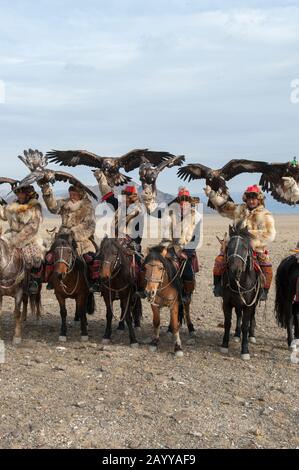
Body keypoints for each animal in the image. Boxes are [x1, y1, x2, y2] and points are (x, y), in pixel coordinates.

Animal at [221, 222, 262, 362]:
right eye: (229, 246)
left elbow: (245, 325)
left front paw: (245, 351)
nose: (235, 270)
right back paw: (237, 335)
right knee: (239, 315)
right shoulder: (227, 303)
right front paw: (224, 345)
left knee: (252, 317)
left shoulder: (248, 305)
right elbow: (227, 323)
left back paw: (252, 335)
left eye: (244, 247)